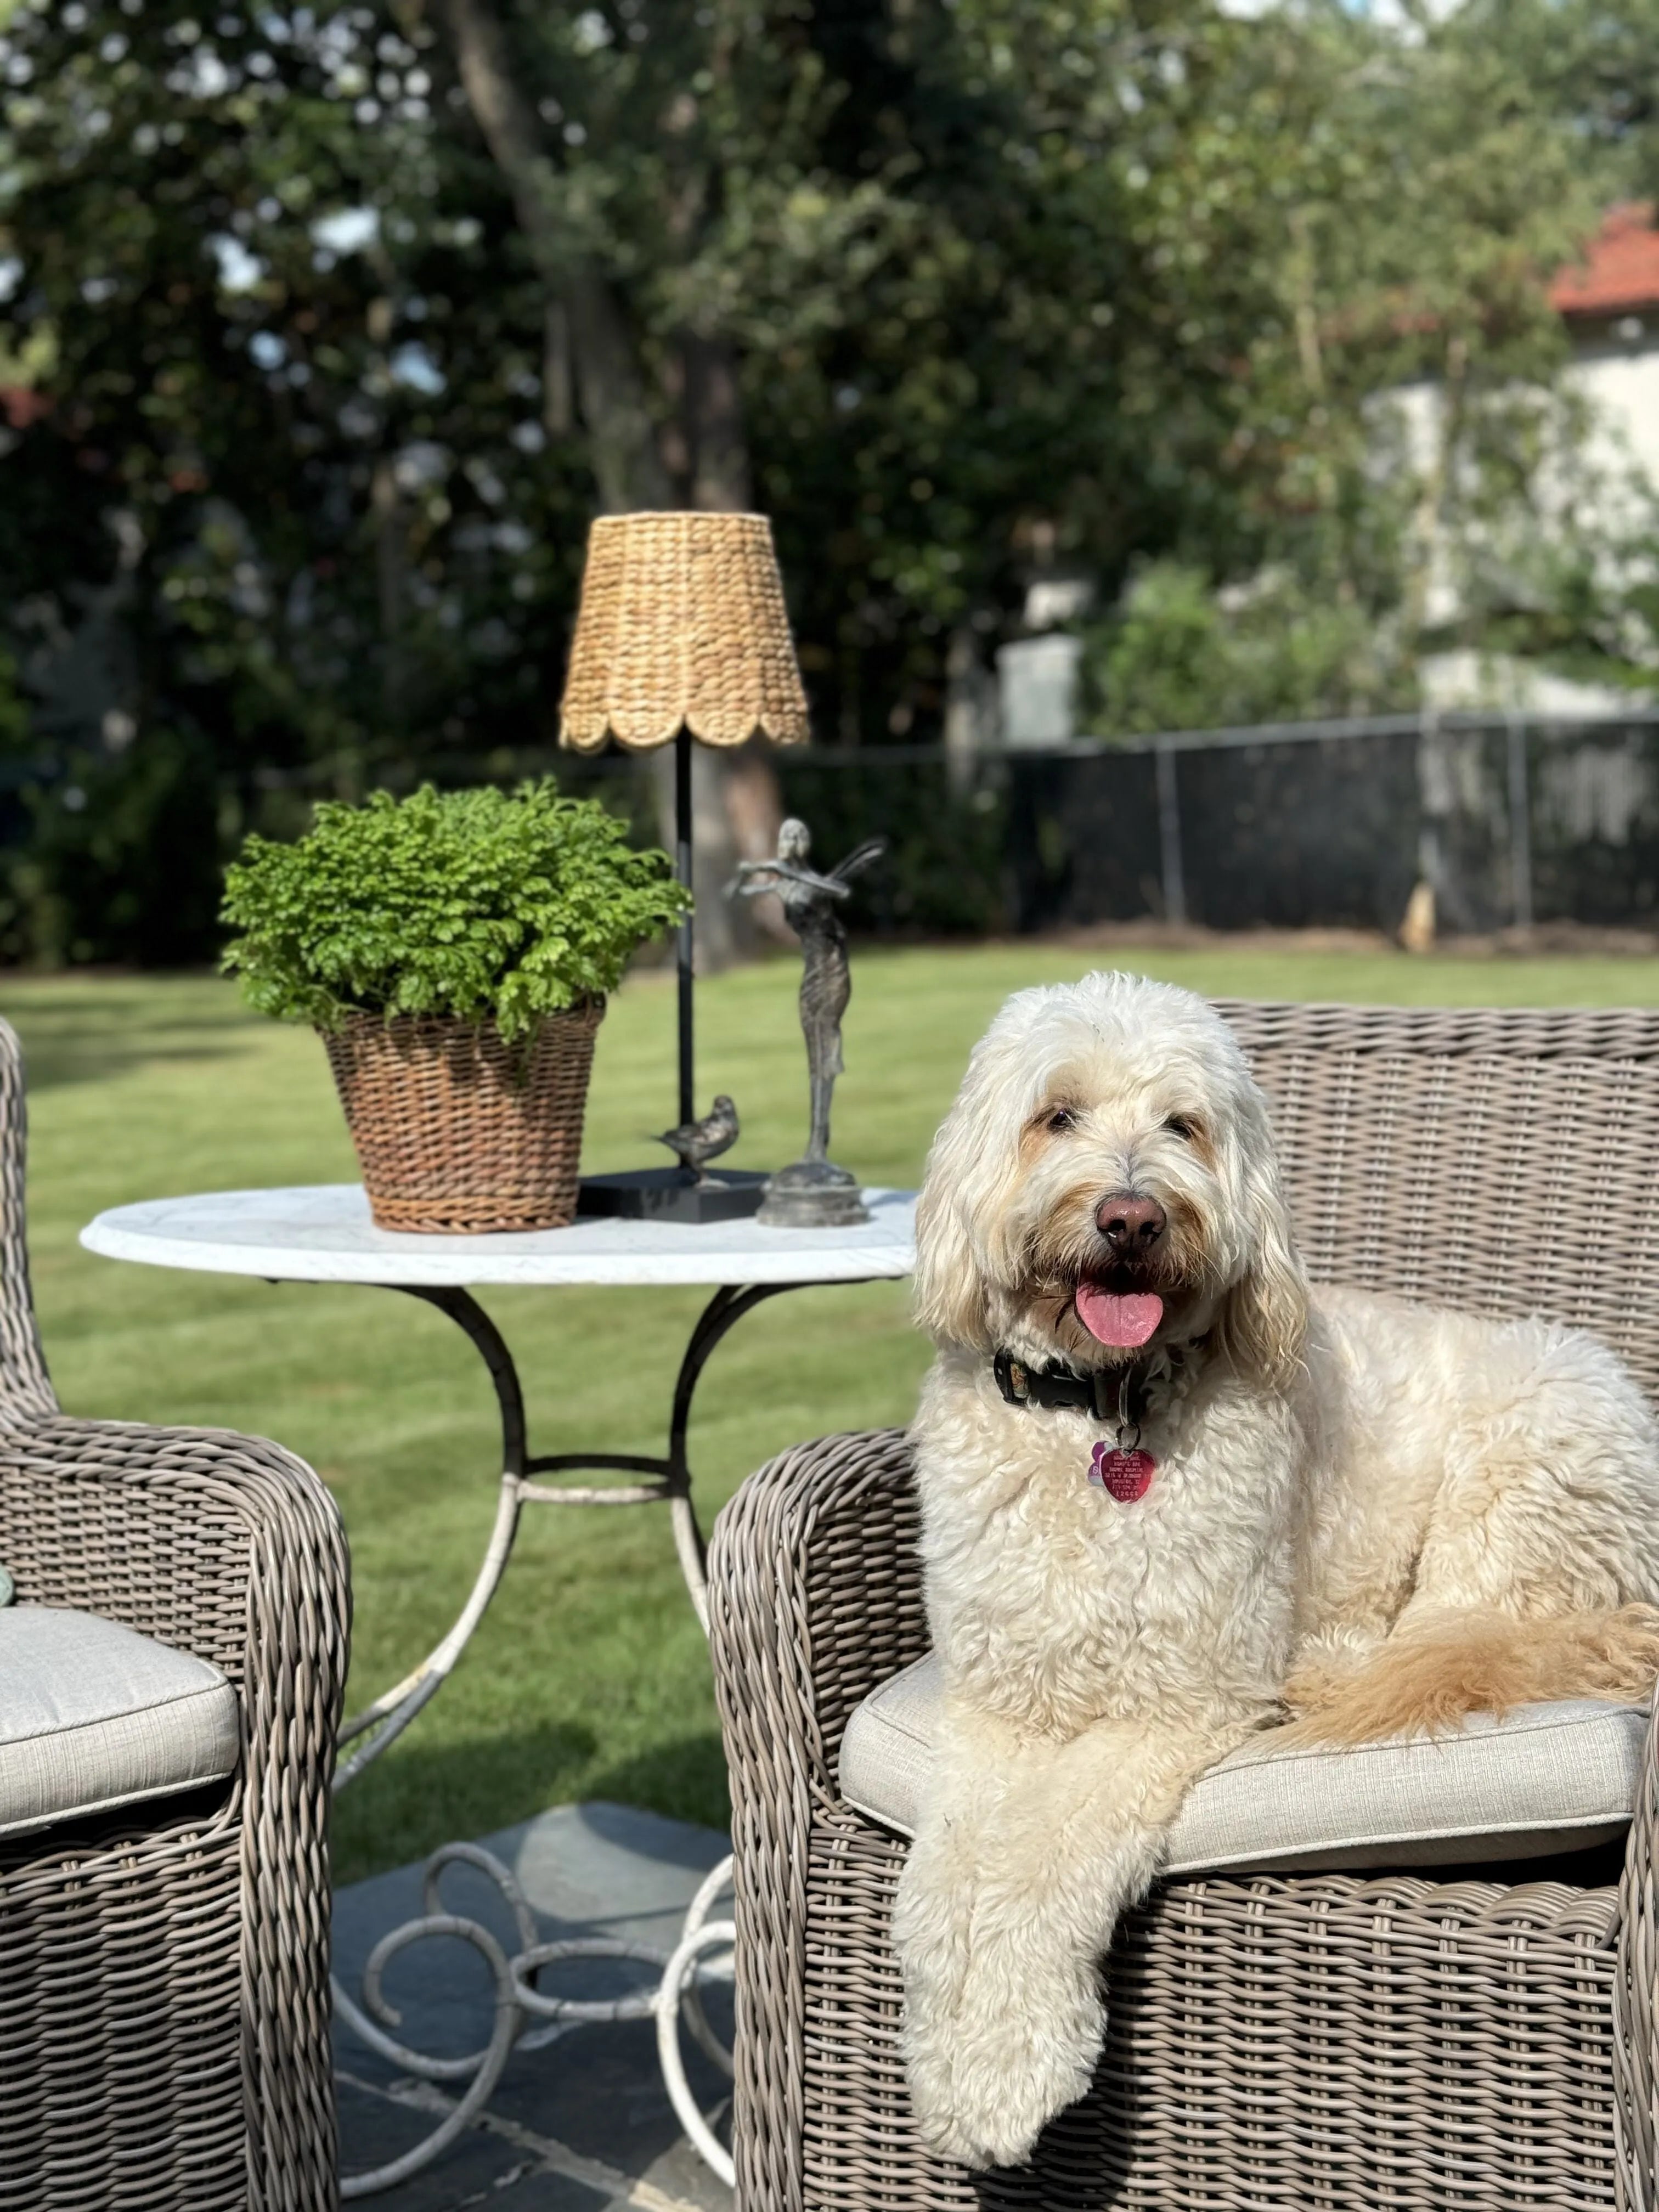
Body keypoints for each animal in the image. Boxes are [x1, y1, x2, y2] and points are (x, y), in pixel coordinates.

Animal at [898, 978, 1659, 2168]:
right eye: (1056, 1116)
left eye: (1182, 1125)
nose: (1132, 1218)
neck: (1102, 1416)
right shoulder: (992, 1703)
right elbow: (942, 1879)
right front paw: (948, 2064)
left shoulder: (1177, 1699)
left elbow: (1039, 1862)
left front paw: (1007, 2071)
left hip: (1530, 1438)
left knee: (1460, 1645)